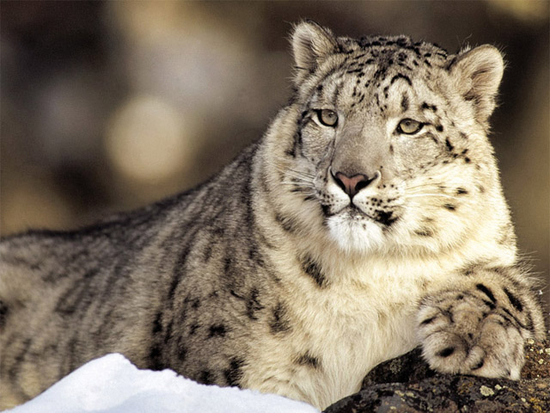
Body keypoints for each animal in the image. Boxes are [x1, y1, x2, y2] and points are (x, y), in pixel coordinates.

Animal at [0, 20, 548, 408]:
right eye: (327, 116)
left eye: (410, 125)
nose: (351, 178)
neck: (371, 275)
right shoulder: (241, 375)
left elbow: (507, 286)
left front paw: (472, 340)